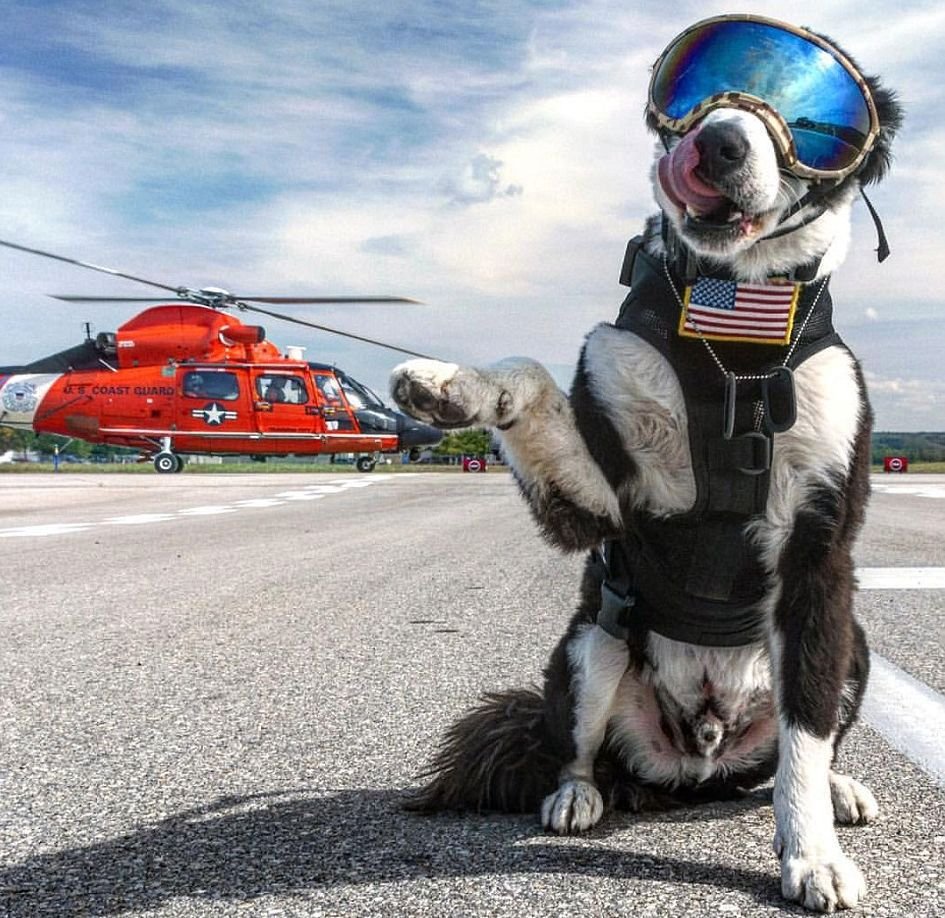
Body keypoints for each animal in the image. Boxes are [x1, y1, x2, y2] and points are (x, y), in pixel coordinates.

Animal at [390, 14, 900, 912]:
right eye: (692, 87)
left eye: (816, 117)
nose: (718, 142)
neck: (734, 327)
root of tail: (699, 754)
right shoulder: (600, 506)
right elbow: (530, 375)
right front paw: (454, 386)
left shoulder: (819, 554)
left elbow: (806, 737)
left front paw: (811, 854)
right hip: (589, 644)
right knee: (576, 745)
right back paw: (576, 794)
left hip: (855, 645)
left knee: (793, 752)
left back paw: (835, 790)